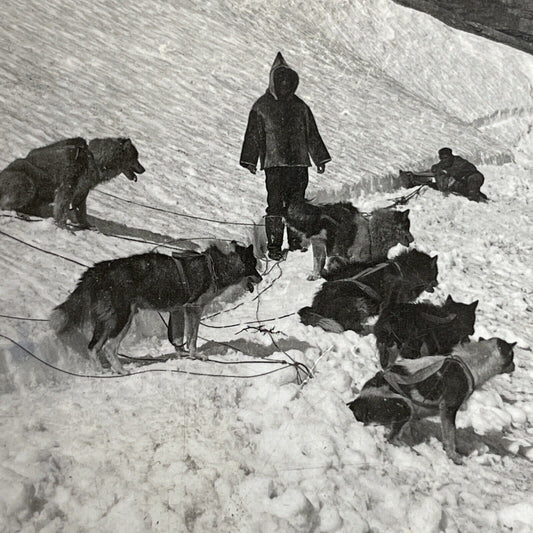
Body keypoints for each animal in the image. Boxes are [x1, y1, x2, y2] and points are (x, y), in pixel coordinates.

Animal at [50, 243, 262, 372]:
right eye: (254, 265)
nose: (261, 278)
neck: (214, 267)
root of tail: (97, 270)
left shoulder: (178, 311)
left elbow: (178, 338)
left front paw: (181, 355)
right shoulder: (194, 309)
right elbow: (192, 338)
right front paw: (195, 355)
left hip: (111, 320)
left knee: (95, 347)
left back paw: (103, 371)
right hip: (121, 319)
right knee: (107, 348)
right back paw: (119, 370)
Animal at [284, 200, 414, 280]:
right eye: (405, 227)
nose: (413, 239)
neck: (372, 233)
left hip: (320, 244)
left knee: (319, 263)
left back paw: (317, 275)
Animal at [298, 249, 438, 332]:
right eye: (435, 273)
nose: (437, 283)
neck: (403, 271)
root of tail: (316, 307)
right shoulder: (390, 302)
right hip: (358, 303)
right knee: (350, 326)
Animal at [348, 338, 512, 464]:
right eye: (512, 356)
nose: (514, 366)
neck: (471, 362)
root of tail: (357, 402)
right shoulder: (448, 408)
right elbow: (450, 435)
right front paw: (453, 456)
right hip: (405, 406)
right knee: (391, 438)